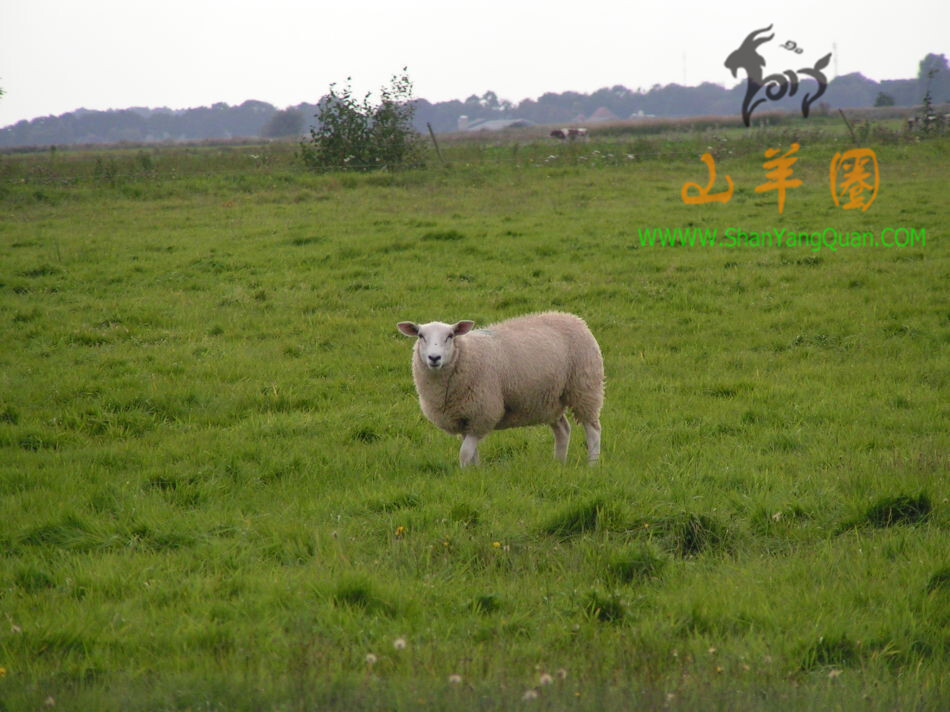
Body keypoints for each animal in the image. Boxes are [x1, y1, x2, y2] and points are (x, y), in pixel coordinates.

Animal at [394, 312, 604, 468]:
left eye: (450, 336)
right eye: (421, 336)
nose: (434, 358)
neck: (465, 354)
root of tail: (574, 318)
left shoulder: (482, 413)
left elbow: (464, 453)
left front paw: (464, 475)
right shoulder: (465, 418)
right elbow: (472, 453)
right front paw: (476, 472)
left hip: (585, 387)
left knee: (593, 431)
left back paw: (592, 464)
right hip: (549, 399)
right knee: (563, 430)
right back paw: (559, 463)